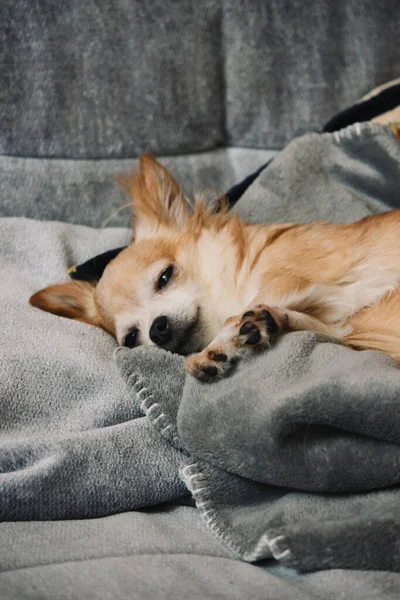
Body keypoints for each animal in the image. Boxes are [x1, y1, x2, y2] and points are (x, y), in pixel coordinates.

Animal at [29, 154, 400, 380]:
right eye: (132, 338)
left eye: (165, 276)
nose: (157, 329)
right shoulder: (335, 326)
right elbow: (309, 326)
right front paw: (256, 328)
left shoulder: (299, 278)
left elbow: (242, 310)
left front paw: (222, 342)